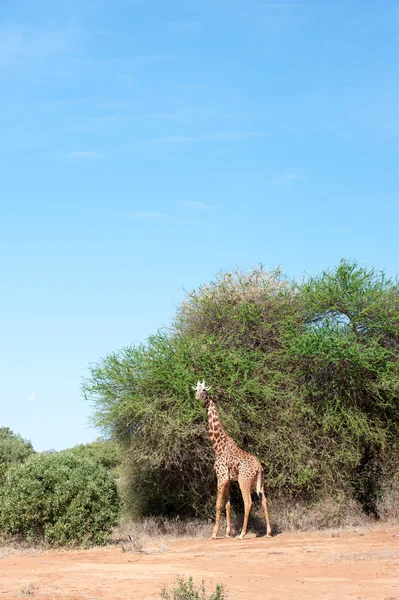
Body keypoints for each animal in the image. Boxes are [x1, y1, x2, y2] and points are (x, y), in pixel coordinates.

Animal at [193, 380, 272, 540]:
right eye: (196, 389)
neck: (218, 446)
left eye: (204, 389)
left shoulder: (221, 476)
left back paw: (242, 534)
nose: (198, 397)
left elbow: (218, 504)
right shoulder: (228, 479)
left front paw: (215, 534)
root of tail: (259, 468)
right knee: (264, 501)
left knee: (248, 502)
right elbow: (227, 504)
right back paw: (268, 532)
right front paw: (227, 533)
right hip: (259, 482)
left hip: (244, 481)